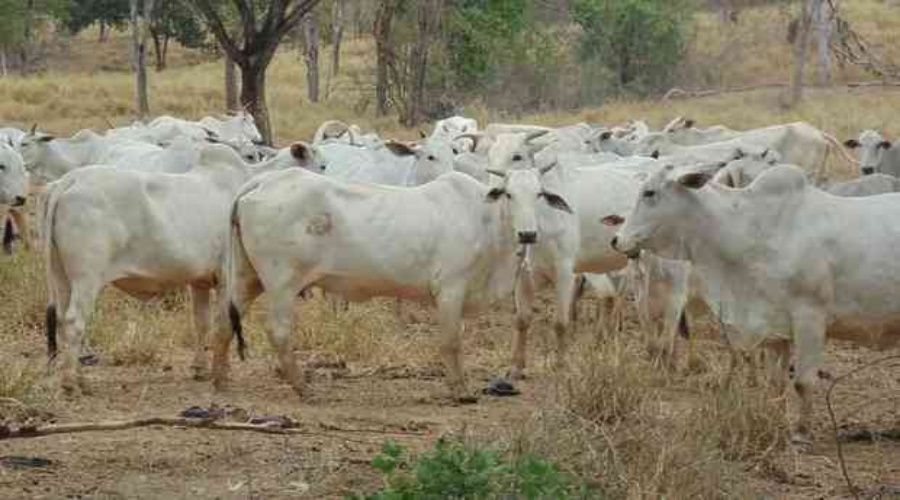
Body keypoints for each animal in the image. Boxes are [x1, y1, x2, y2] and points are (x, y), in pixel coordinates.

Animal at [44, 141, 326, 390]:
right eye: (322, 165)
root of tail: (69, 181)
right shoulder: (226, 277)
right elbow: (223, 320)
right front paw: (222, 371)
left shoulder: (199, 281)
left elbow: (201, 322)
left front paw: (200, 369)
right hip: (86, 278)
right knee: (74, 321)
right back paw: (71, 383)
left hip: (62, 277)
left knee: (62, 320)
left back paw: (77, 378)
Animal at [215, 166, 572, 400]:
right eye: (509, 194)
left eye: (539, 195)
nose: (528, 234)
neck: (483, 219)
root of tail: (261, 181)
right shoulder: (450, 289)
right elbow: (451, 342)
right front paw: (460, 390)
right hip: (282, 284)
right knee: (278, 331)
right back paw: (303, 387)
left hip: (247, 279)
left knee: (223, 322)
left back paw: (221, 379)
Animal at [608, 164, 896, 442]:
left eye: (649, 192)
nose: (616, 239)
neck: (752, 230)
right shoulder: (775, 327)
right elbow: (775, 382)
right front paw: (776, 422)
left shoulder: (810, 318)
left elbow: (803, 381)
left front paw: (801, 432)